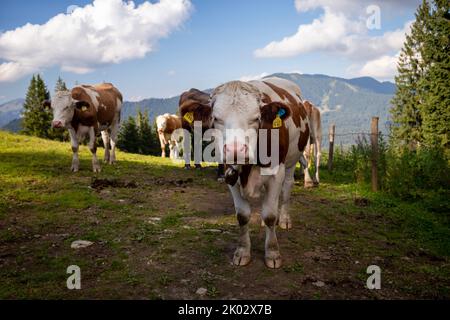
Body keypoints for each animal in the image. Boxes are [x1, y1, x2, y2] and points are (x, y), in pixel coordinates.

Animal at [207, 77, 310, 268]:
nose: (235, 150)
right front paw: (242, 252)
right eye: (216, 118)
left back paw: (284, 220)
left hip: (292, 161)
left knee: (286, 189)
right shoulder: (230, 176)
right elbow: (242, 215)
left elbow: (270, 215)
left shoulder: (277, 173)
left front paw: (272, 253)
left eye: (256, 118)